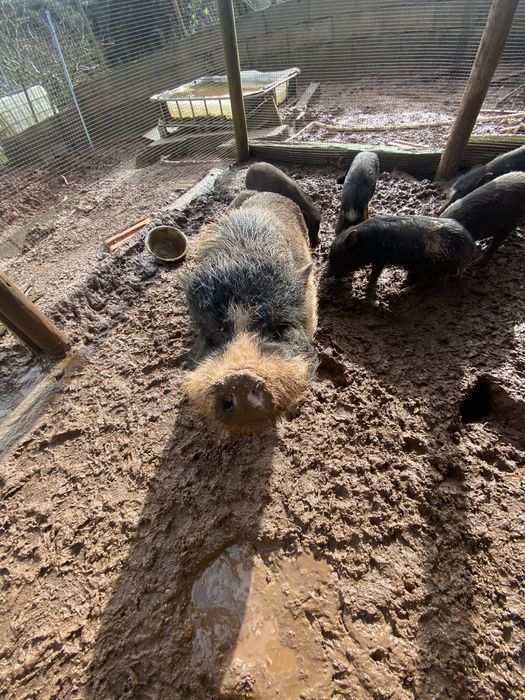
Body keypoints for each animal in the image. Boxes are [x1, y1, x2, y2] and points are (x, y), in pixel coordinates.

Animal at [328, 215, 475, 301]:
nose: (328, 275)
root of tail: (472, 246)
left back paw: (404, 289)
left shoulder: (380, 258)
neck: (366, 243)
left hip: (441, 267)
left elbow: (375, 273)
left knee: (432, 281)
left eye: (337, 256)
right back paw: (404, 283)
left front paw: (367, 288)